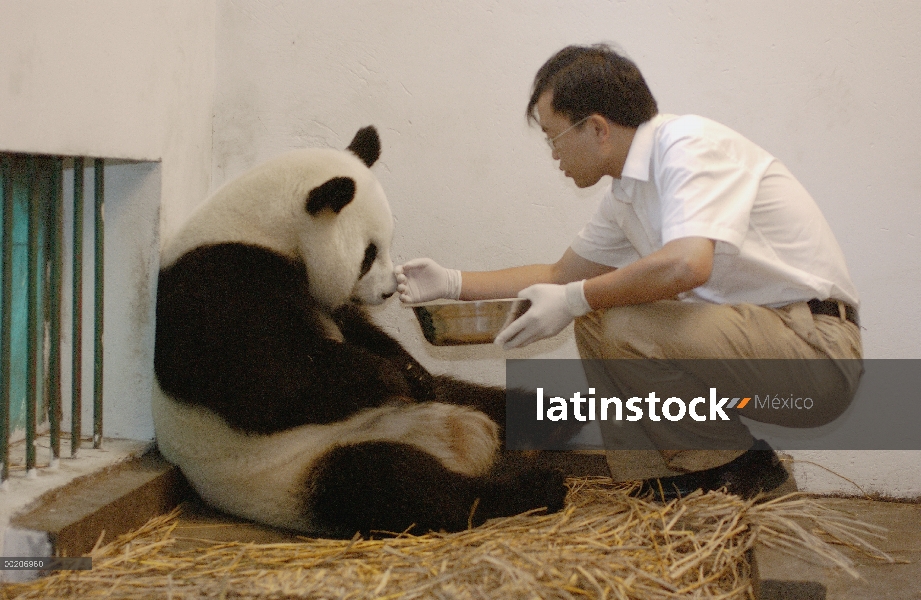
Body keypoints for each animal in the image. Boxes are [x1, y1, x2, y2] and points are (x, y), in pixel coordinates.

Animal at [153, 126, 568, 540]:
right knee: (387, 482)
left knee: (476, 397)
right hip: (291, 472)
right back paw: (534, 487)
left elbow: (359, 330)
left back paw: (553, 422)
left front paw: (408, 369)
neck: (261, 227)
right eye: (369, 254)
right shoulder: (218, 286)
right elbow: (270, 382)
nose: (386, 292)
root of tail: (460, 448)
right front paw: (388, 375)